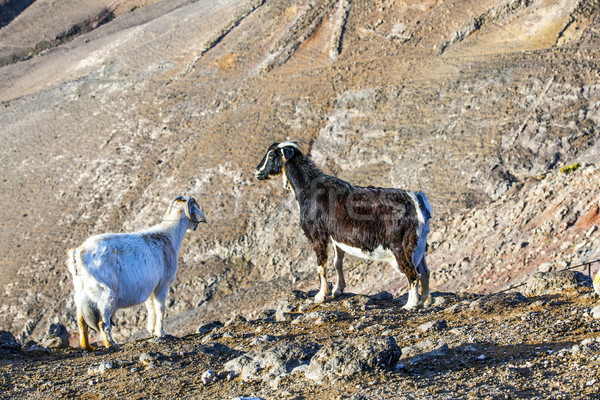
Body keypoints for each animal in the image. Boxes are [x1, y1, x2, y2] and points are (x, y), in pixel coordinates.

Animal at [67, 196, 206, 350]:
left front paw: (152, 331)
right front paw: (161, 332)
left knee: (81, 321)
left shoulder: (151, 287)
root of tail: (78, 253)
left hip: (80, 292)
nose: (195, 226)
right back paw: (111, 344)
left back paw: (87, 346)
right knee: (102, 323)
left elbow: (151, 308)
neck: (168, 235)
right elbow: (160, 308)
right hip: (105, 293)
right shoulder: (162, 284)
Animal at [253, 141, 432, 310]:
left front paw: (320, 296)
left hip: (401, 246)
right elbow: (337, 262)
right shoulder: (336, 237)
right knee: (425, 272)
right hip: (420, 244)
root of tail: (416, 200)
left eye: (271, 155)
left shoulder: (318, 235)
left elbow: (321, 265)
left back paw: (410, 305)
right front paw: (338, 290)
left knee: (412, 274)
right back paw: (425, 302)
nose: (257, 172)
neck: (308, 188)